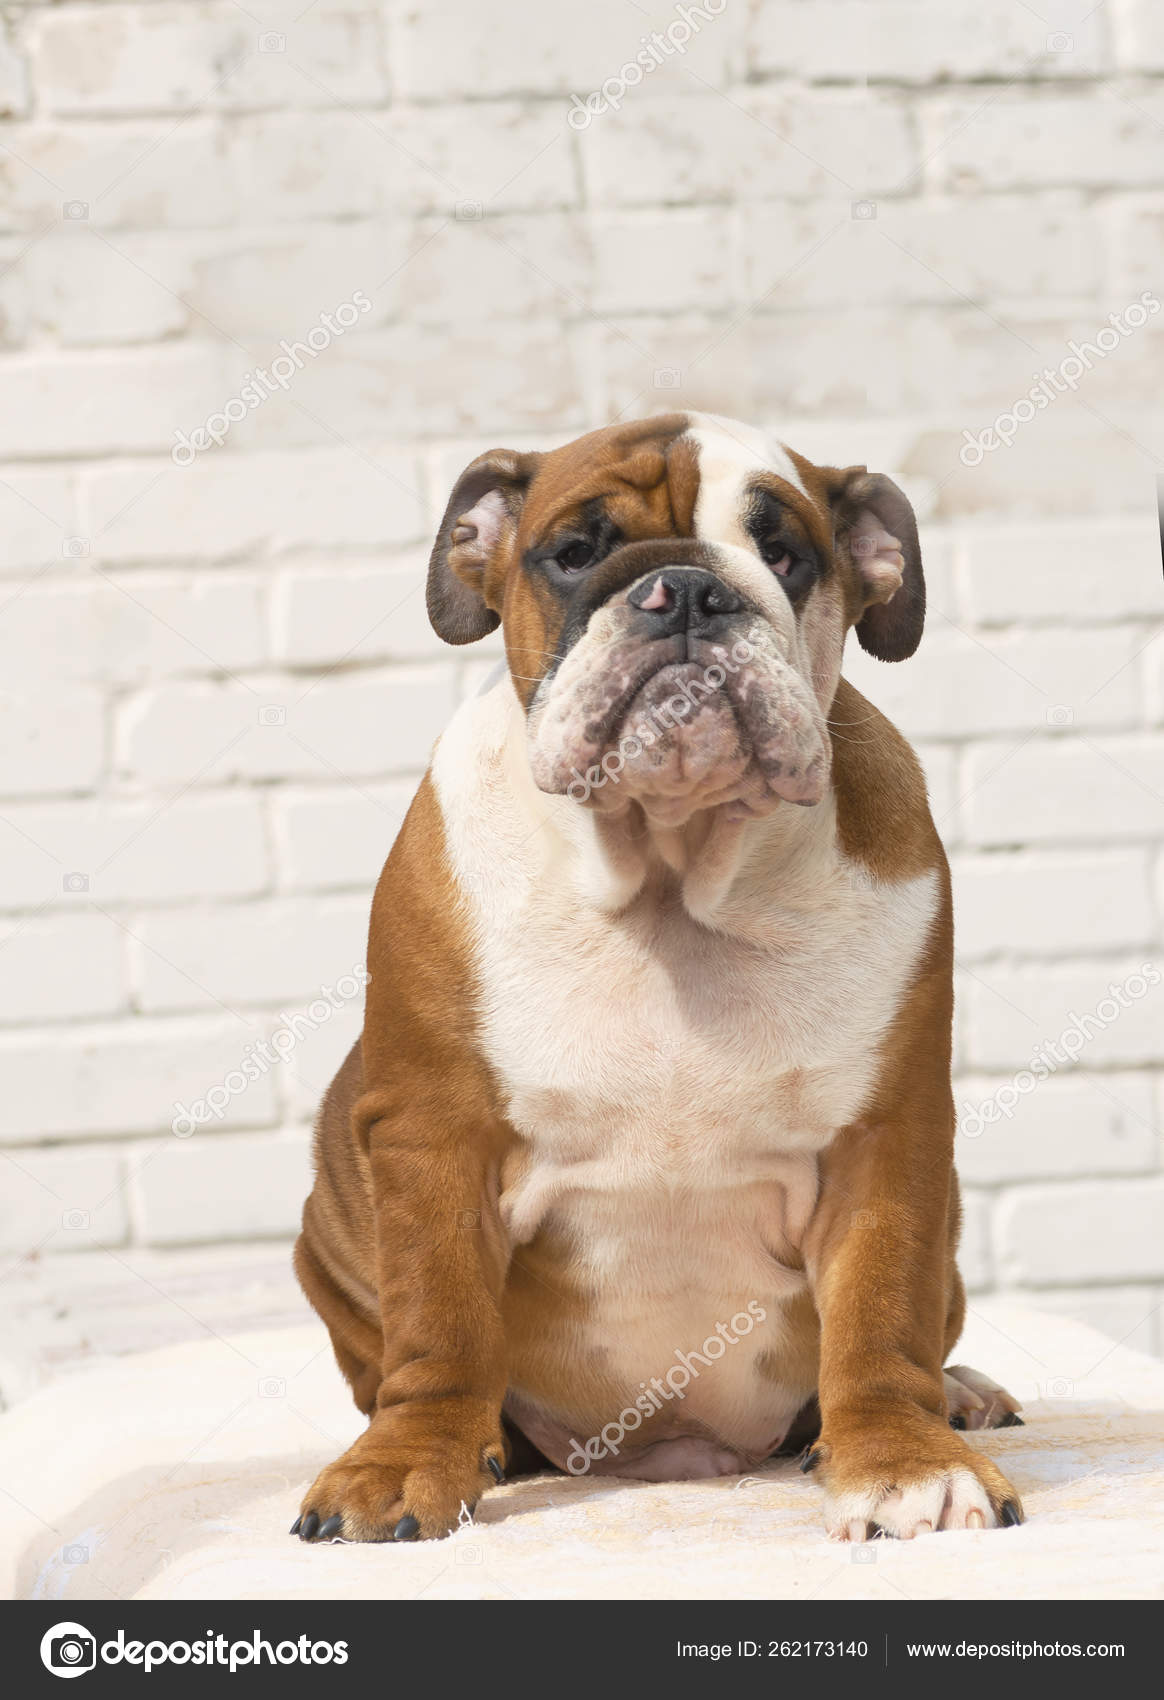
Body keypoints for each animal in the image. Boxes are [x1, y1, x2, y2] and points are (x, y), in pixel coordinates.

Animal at [292, 408, 1026, 1543]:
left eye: (786, 553)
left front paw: (903, 1460)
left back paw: (955, 1390)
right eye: (573, 551)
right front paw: (407, 1461)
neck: (672, 876)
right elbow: (442, 1318)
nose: (685, 588)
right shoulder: (430, 1133)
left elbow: (877, 1314)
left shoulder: (887, 1140)